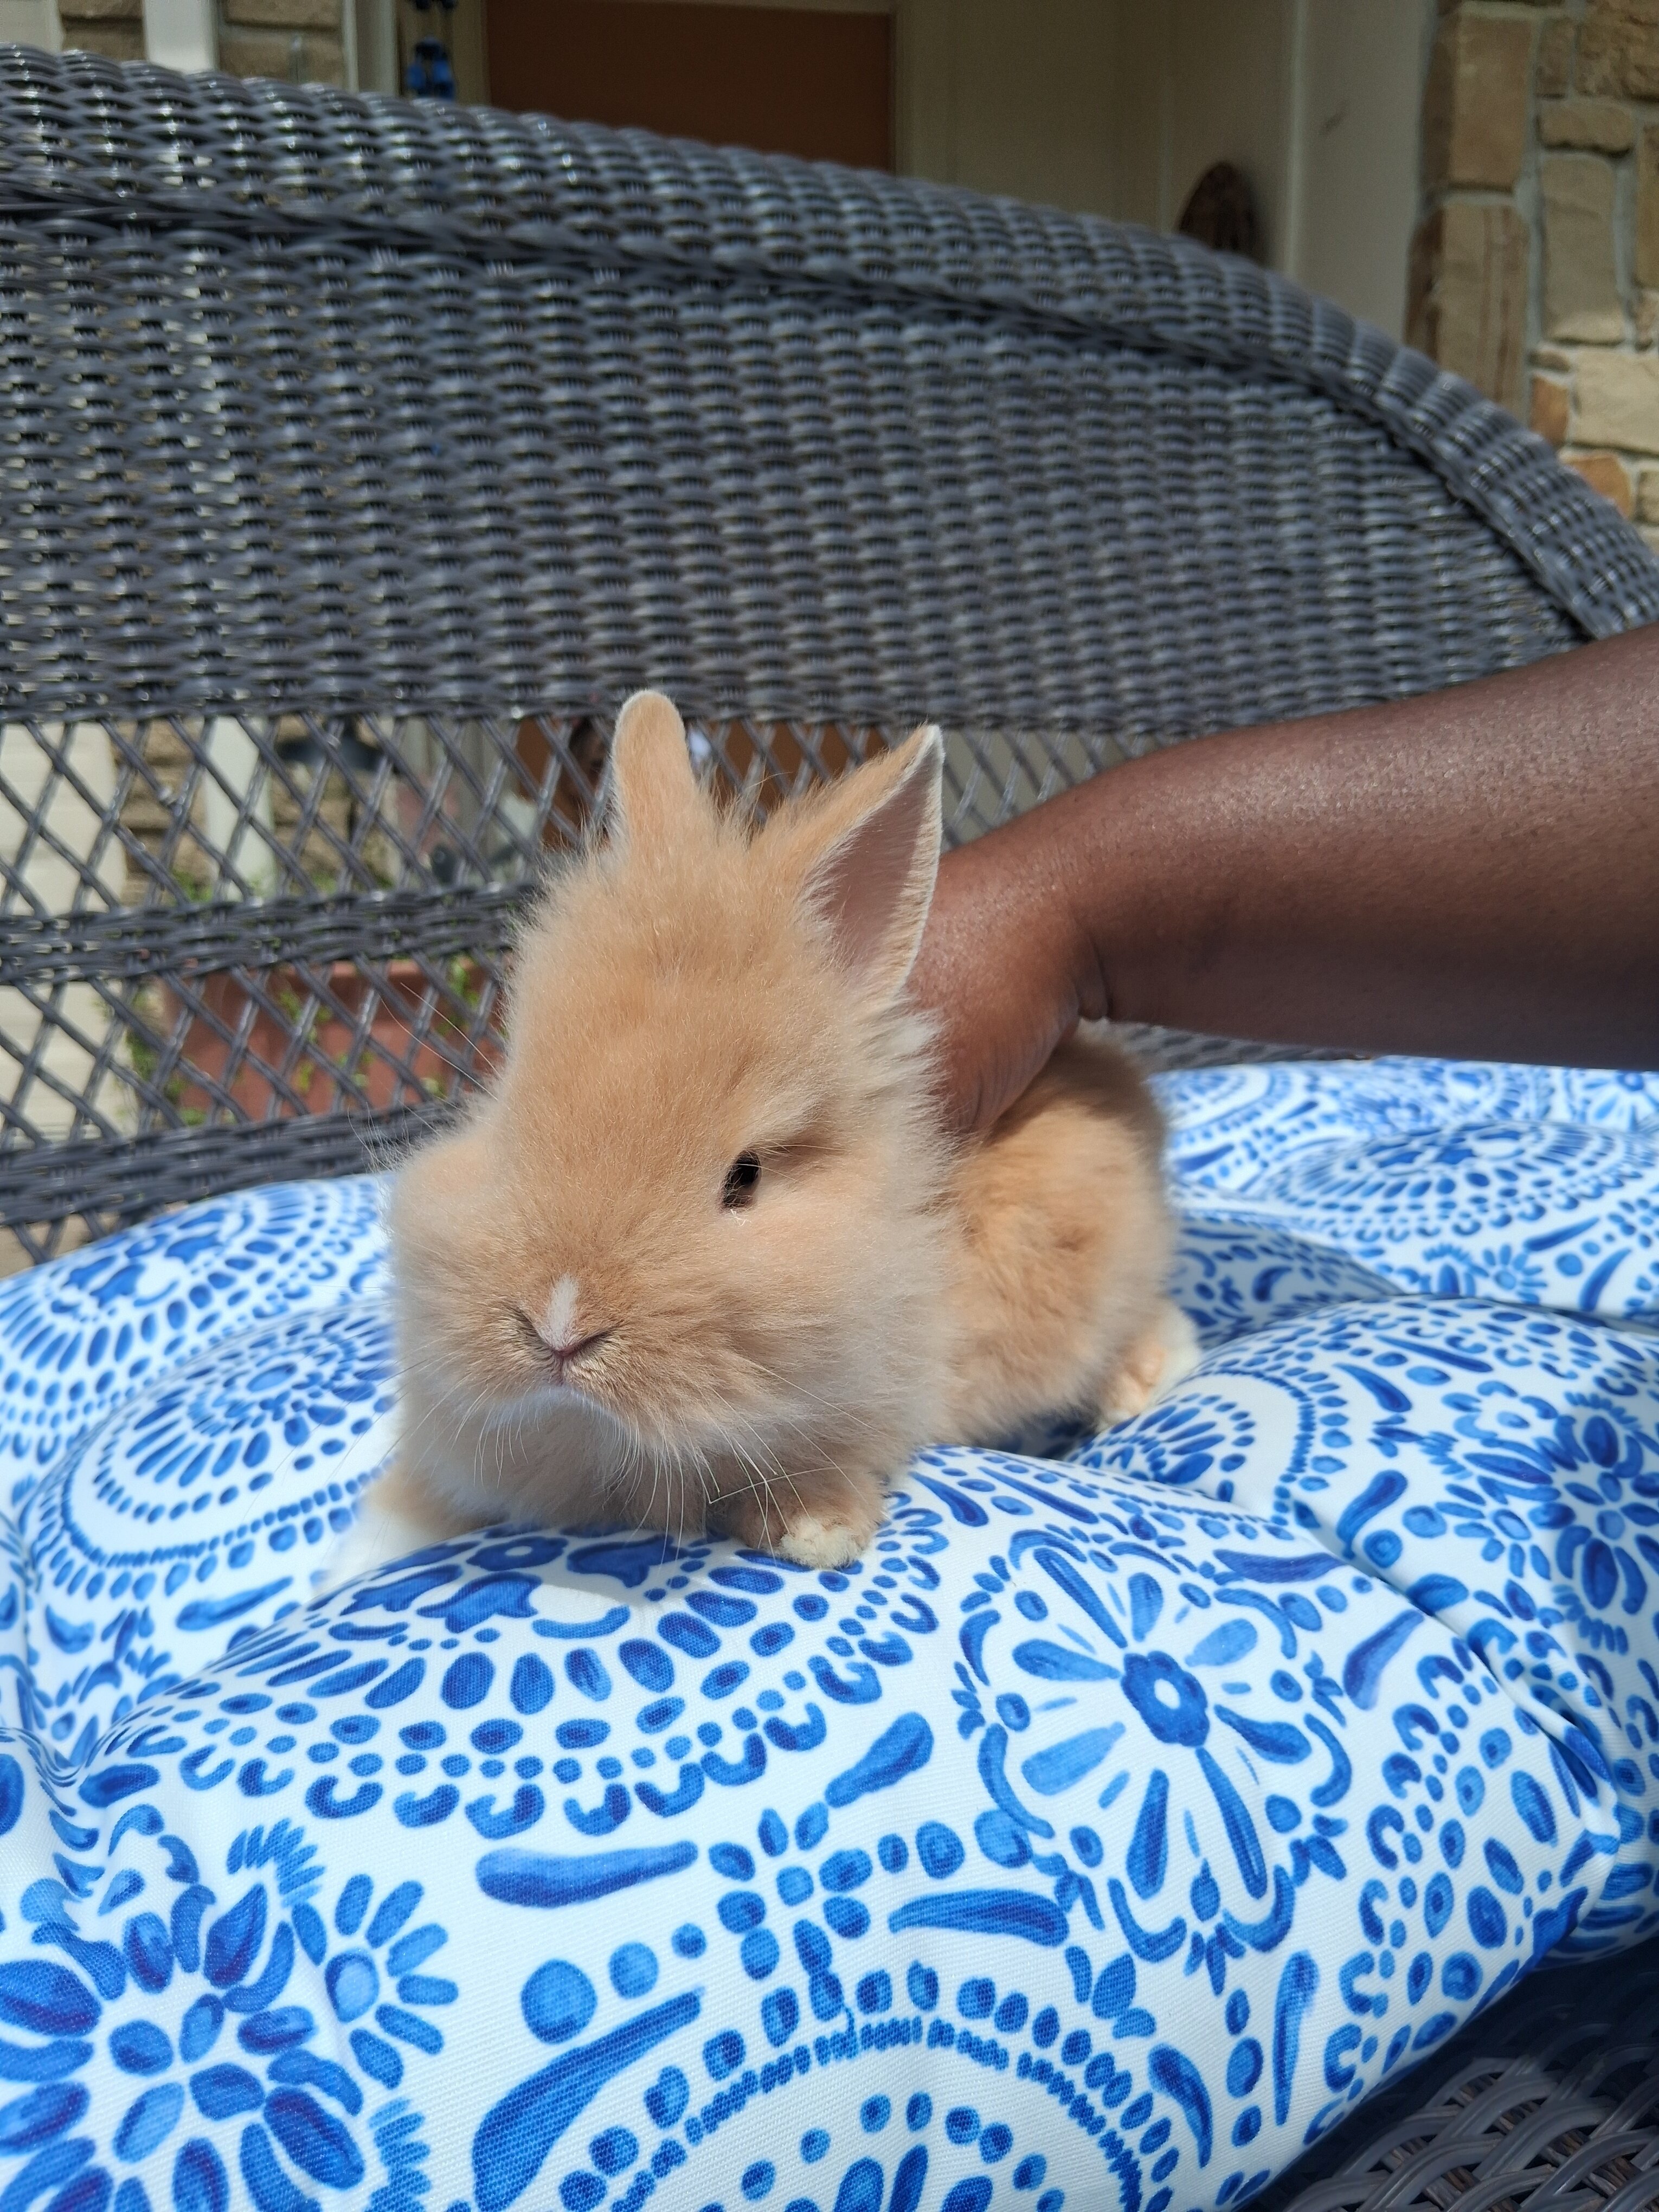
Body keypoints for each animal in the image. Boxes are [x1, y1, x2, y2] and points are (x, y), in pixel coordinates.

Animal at [324, 691, 1197, 1587]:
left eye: (744, 1178)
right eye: (509, 1115)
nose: (561, 1327)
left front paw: (818, 1532)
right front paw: (350, 1560)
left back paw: (1145, 1380)